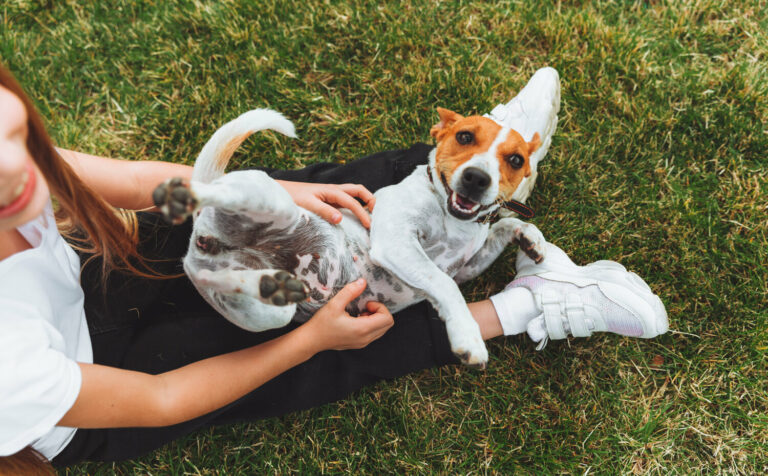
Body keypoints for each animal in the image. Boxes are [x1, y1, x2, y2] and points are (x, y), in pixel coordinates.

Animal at [153, 67, 560, 368]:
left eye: (515, 160)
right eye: (463, 136)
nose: (477, 178)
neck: (452, 218)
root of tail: (204, 235)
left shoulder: (466, 265)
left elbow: (507, 224)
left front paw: (532, 240)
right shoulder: (397, 243)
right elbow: (445, 287)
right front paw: (467, 336)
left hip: (263, 313)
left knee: (221, 280)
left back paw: (263, 282)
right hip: (270, 199)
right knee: (224, 195)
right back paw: (183, 194)